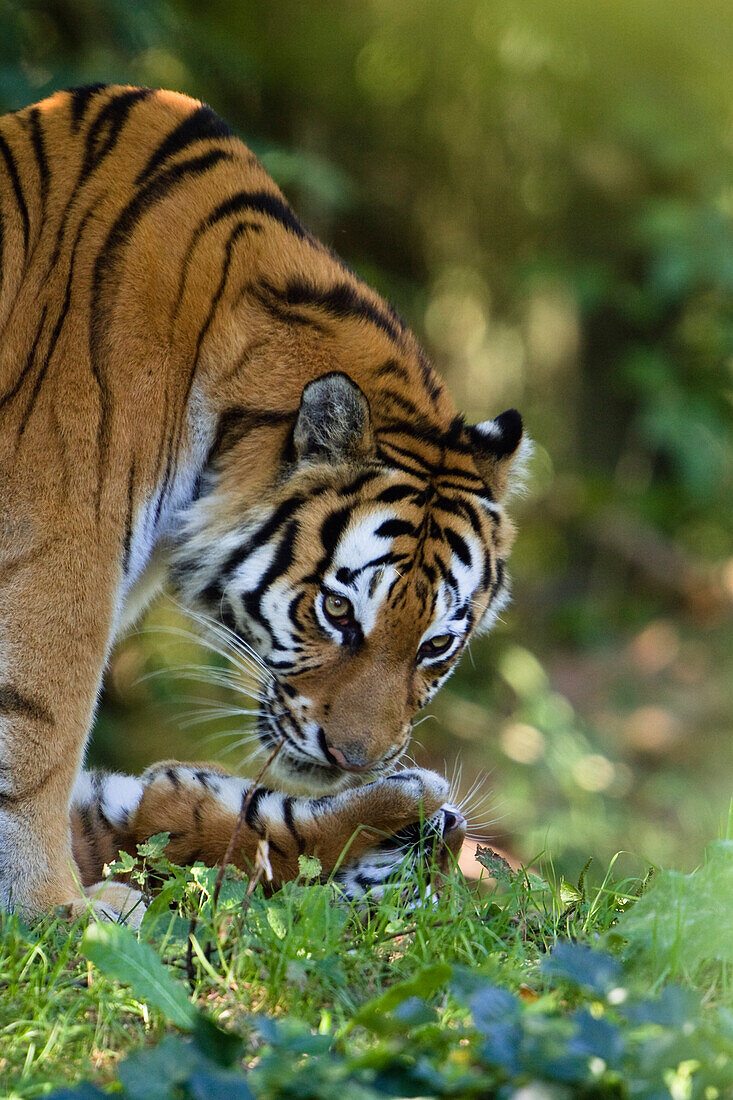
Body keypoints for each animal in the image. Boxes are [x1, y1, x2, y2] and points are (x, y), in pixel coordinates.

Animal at [0, 83, 526, 919]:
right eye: (337, 611)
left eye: (436, 645)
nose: (355, 760)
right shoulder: (58, 550)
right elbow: (40, 736)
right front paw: (56, 911)